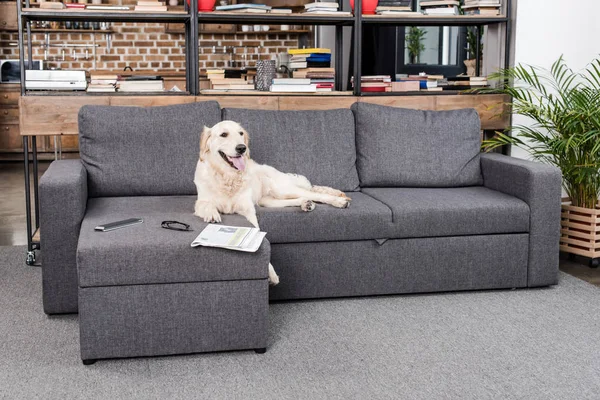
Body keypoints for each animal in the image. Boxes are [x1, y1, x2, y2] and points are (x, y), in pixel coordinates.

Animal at [192, 120, 352, 286]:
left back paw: (339, 201)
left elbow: (258, 235)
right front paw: (212, 214)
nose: (242, 148)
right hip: (268, 201)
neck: (227, 177)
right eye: (223, 134)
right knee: (299, 198)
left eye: (240, 133)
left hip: (282, 189)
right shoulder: (201, 201)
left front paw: (271, 273)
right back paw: (306, 204)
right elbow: (207, 205)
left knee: (316, 194)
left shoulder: (249, 210)